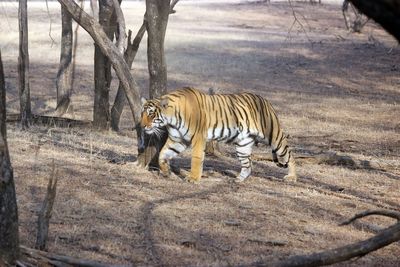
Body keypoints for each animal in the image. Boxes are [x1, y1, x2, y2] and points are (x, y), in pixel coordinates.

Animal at [141, 88, 296, 184]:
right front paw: (166, 172)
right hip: (243, 144)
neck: (172, 119)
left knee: (289, 155)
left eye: (151, 114)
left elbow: (196, 159)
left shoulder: (198, 138)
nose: (142, 126)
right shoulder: (177, 139)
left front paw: (193, 178)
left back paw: (292, 177)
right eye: (142, 113)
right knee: (248, 164)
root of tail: (264, 100)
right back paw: (238, 179)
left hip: (274, 136)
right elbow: (162, 154)